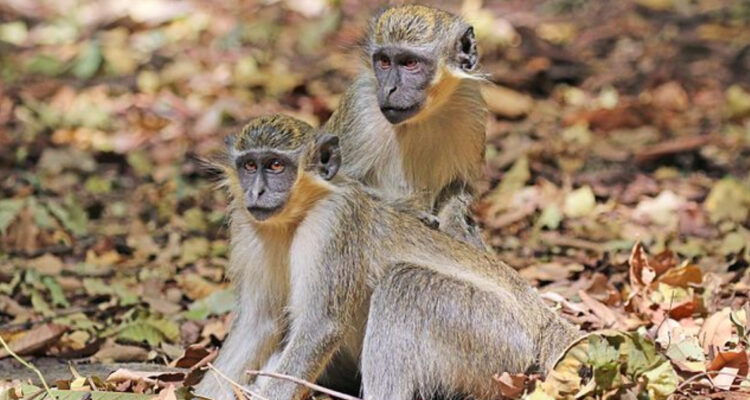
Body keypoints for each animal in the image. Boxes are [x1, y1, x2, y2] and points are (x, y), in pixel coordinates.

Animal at [196, 115, 580, 400]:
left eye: (276, 166)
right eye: (249, 166)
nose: (256, 191)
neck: (295, 216)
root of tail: (541, 320)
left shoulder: (334, 220)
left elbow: (320, 326)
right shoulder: (248, 226)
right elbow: (258, 324)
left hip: (496, 339)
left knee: (403, 286)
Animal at [323, 4, 488, 249]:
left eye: (410, 63)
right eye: (384, 61)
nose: (389, 88)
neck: (425, 115)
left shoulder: (471, 112)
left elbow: (459, 184)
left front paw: (457, 227)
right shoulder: (362, 110)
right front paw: (410, 208)